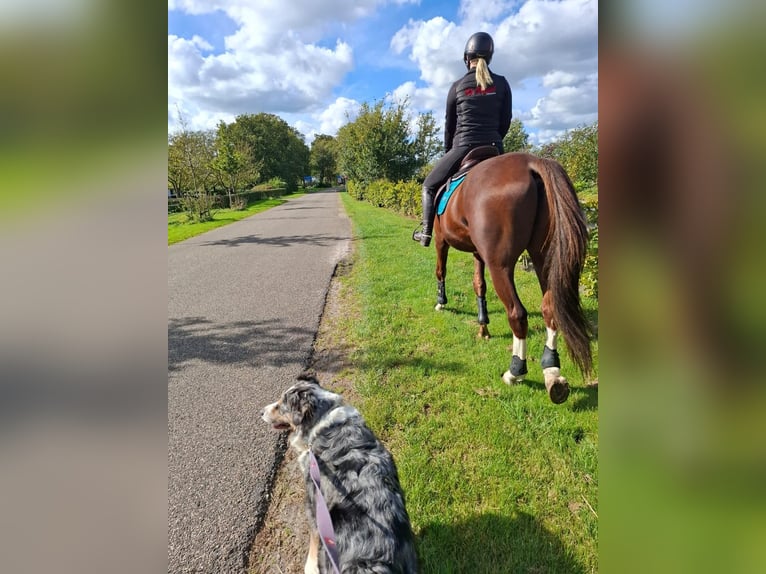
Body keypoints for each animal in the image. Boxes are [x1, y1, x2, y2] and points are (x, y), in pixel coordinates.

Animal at [264, 374, 420, 574]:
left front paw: (309, 566)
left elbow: (314, 538)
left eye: (280, 405)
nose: (261, 412)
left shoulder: (314, 501)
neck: (321, 422)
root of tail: (380, 562)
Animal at [432, 151, 592, 408]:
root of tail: (531, 162)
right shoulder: (478, 252)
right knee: (549, 308)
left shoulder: (440, 240)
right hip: (544, 256)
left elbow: (441, 270)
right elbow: (479, 284)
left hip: (500, 265)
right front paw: (483, 327)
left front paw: (441, 302)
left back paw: (515, 371)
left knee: (517, 313)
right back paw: (552, 372)